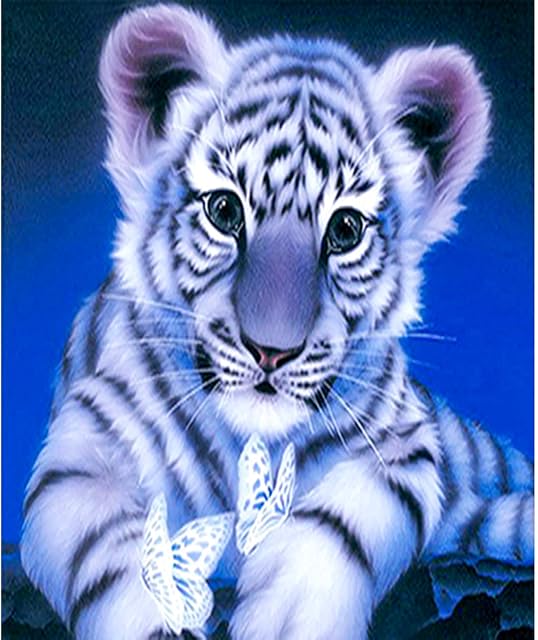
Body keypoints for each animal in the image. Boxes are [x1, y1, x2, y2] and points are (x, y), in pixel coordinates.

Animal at [20, 4, 533, 640]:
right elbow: (123, 550)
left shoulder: (405, 442)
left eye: (345, 229)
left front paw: (290, 616)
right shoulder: (81, 452)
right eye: (224, 211)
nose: (271, 351)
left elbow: (347, 517)